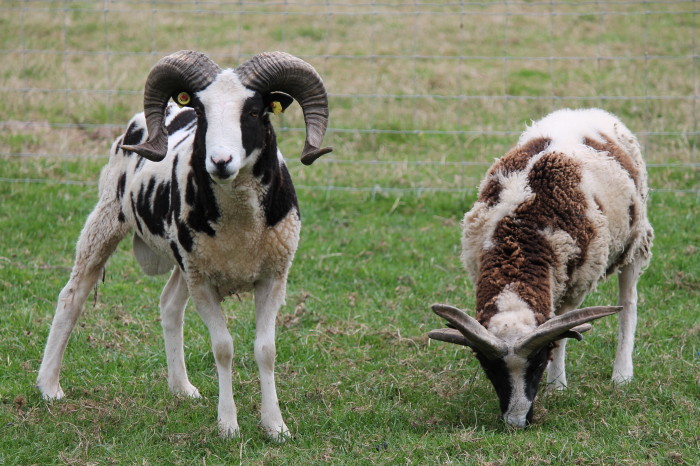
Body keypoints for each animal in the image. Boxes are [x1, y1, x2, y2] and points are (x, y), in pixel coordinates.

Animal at [36, 50, 332, 440]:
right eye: (204, 112)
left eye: (254, 112)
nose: (220, 162)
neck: (241, 228)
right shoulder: (203, 283)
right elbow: (223, 349)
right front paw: (228, 425)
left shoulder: (272, 278)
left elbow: (266, 350)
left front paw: (275, 426)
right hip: (109, 218)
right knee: (72, 296)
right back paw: (49, 387)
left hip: (184, 258)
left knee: (169, 305)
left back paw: (182, 388)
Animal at [428, 108, 653, 428]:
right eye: (489, 367)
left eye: (537, 363)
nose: (516, 422)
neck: (516, 245)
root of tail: (585, 111)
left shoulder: (572, 284)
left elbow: (561, 333)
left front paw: (557, 385)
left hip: (635, 241)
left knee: (629, 304)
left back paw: (622, 374)